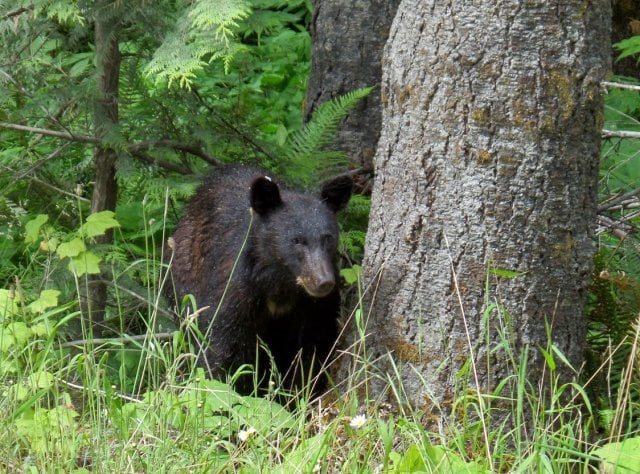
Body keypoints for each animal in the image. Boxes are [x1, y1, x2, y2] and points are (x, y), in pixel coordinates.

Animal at [168, 165, 352, 394]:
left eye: (328, 238)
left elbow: (312, 351)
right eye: (297, 240)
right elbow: (221, 344)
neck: (280, 284)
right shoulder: (236, 290)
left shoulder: (315, 309)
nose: (323, 282)